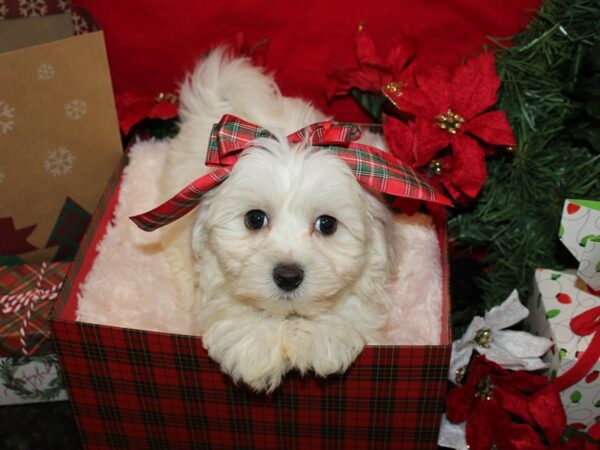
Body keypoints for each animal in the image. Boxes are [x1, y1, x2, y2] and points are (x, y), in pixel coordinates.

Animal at [159, 49, 398, 392]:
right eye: (255, 219)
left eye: (327, 225)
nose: (287, 276)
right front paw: (254, 344)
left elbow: (350, 309)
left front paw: (322, 335)